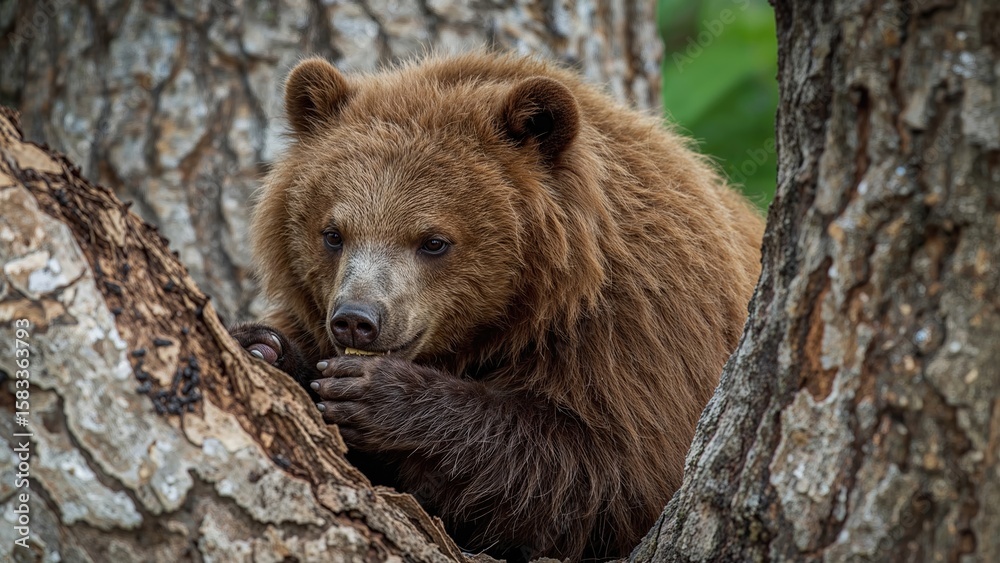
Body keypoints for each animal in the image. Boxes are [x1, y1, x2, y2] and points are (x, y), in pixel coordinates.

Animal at [230, 51, 764, 561]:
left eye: (433, 241)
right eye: (333, 233)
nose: (357, 320)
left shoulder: (640, 331)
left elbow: (609, 475)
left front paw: (375, 393)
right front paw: (266, 348)